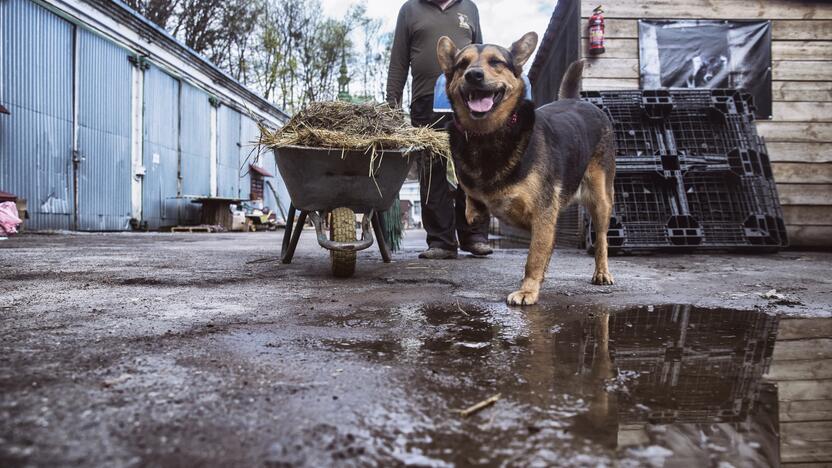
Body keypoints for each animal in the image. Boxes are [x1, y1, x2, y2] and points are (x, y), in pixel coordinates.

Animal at [436, 31, 616, 306]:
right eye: (461, 65)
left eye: (496, 62)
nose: (473, 75)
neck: (487, 136)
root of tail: (576, 100)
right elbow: (469, 197)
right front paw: (474, 209)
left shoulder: (543, 214)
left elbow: (535, 256)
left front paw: (528, 290)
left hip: (600, 200)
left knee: (602, 239)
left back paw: (602, 271)